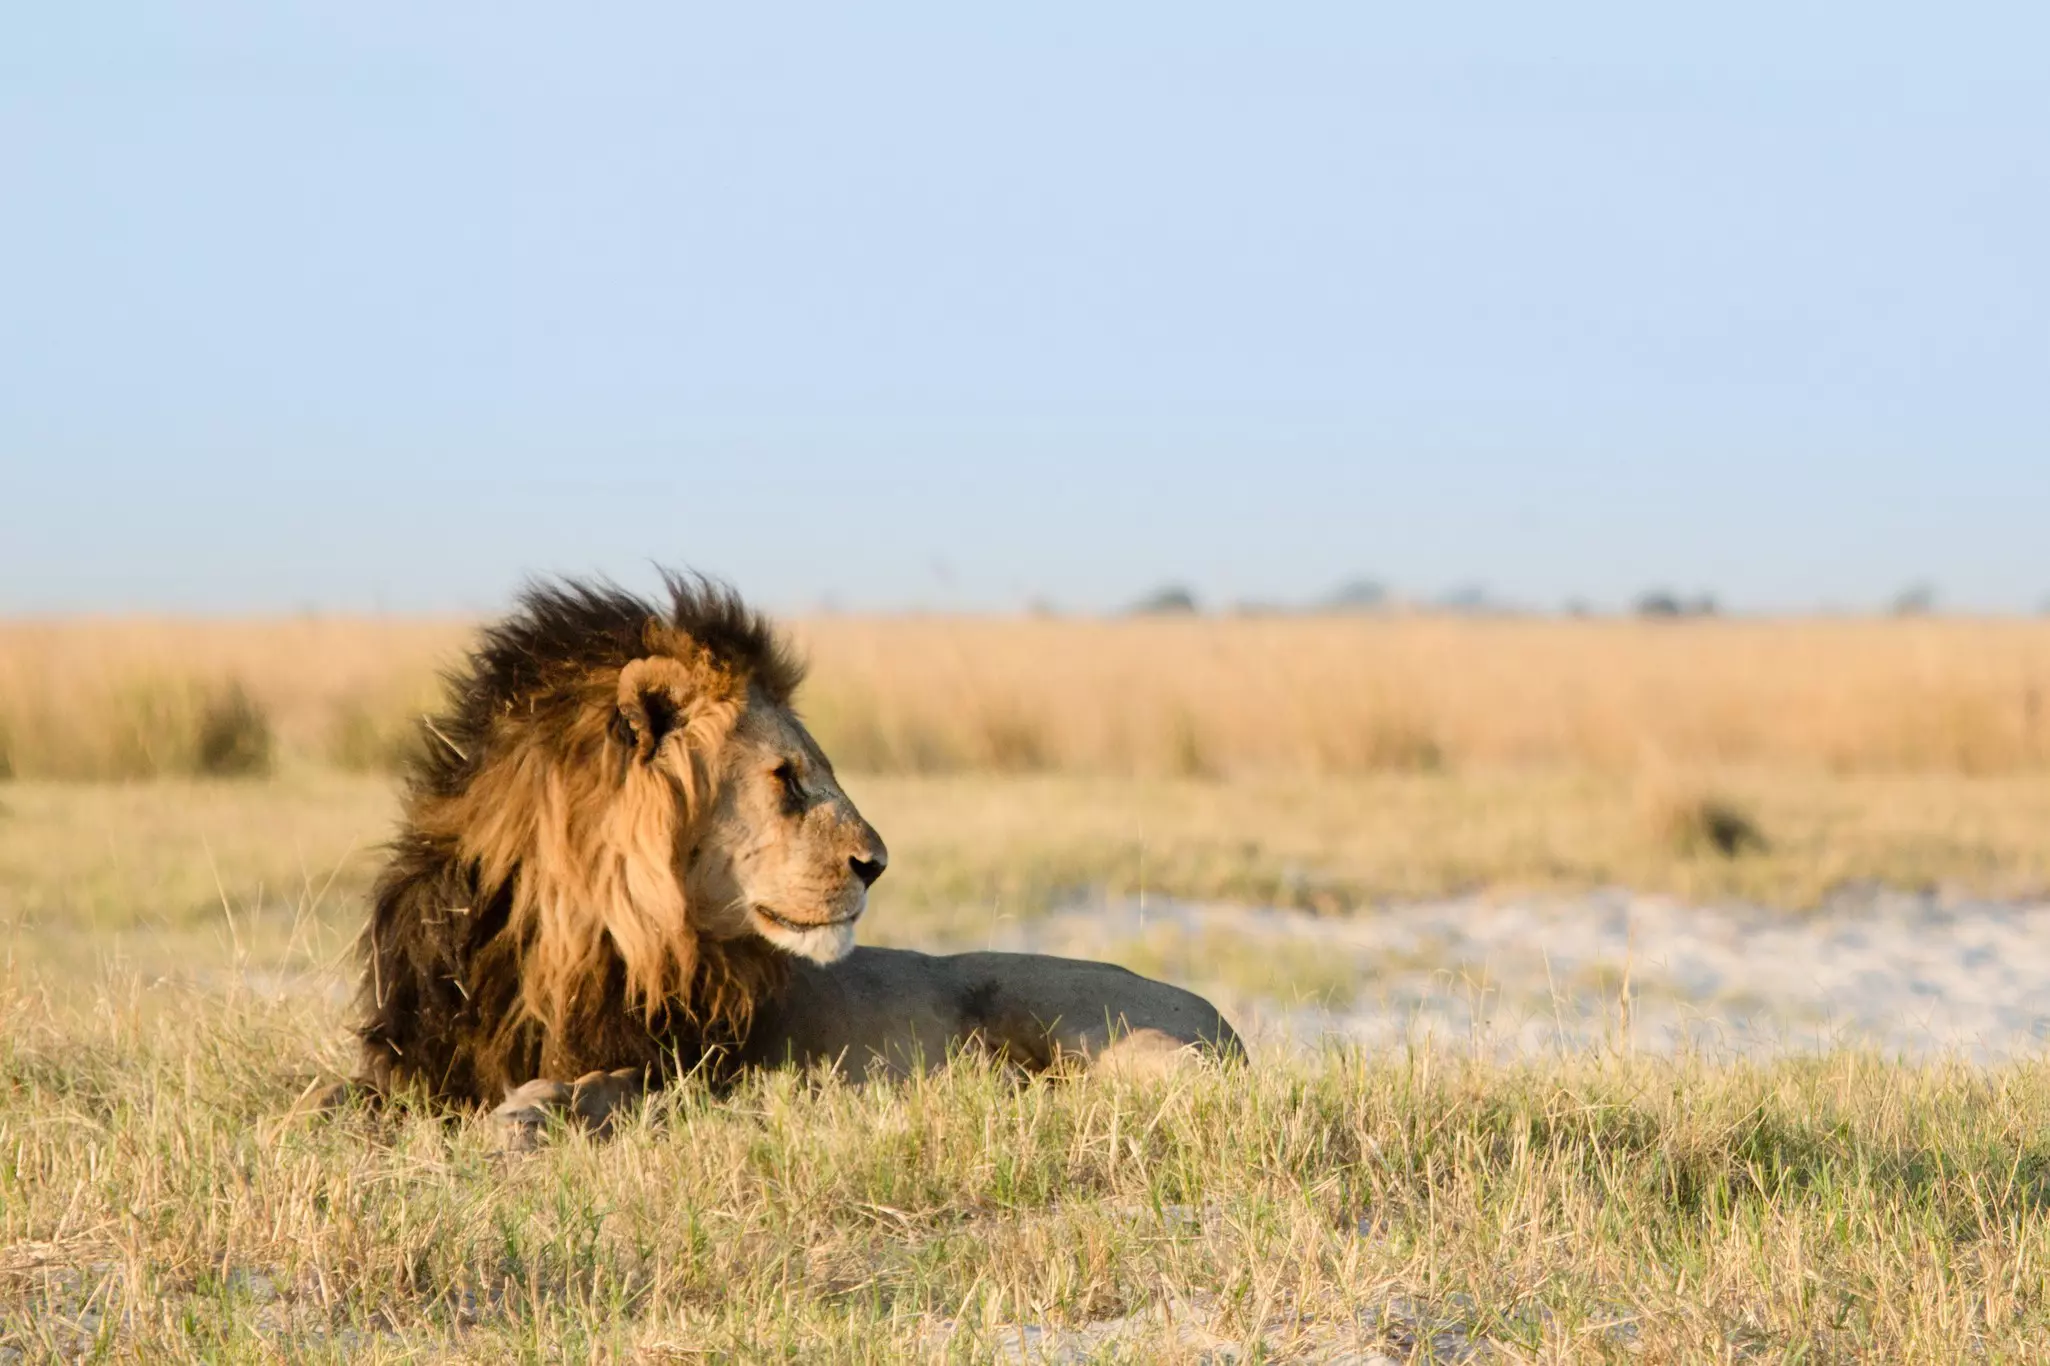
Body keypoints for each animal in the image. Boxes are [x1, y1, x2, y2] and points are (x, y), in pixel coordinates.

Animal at [343, 572, 1240, 1141]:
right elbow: (336, 1098)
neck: (572, 928)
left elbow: (614, 1087)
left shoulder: (701, 1068)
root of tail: (1223, 1022)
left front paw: (531, 1113)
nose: (877, 863)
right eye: (788, 777)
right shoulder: (411, 1064)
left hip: (1084, 1020)